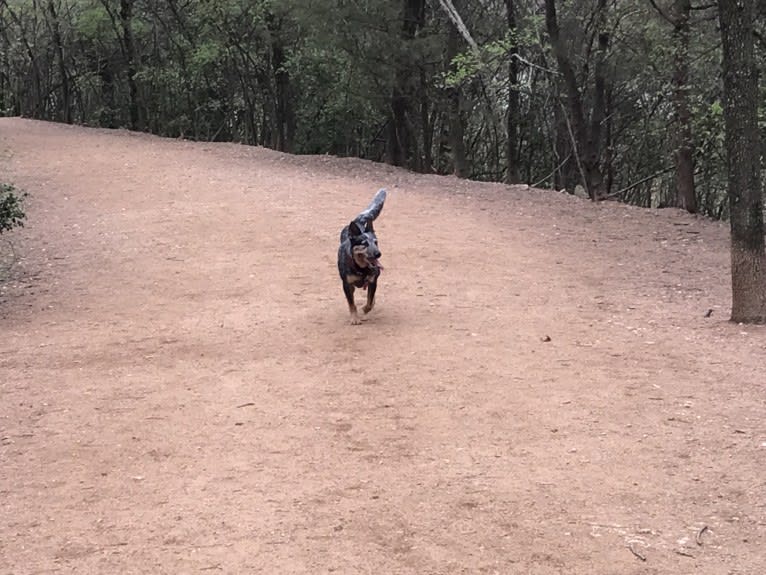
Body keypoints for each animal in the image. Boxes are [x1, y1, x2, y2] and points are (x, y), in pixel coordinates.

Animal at [336, 189, 388, 324]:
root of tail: (358, 222)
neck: (361, 268)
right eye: (364, 244)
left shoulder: (373, 281)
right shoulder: (347, 285)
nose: (378, 254)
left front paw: (364, 309)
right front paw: (354, 318)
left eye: (376, 242)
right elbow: (351, 303)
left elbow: (369, 301)